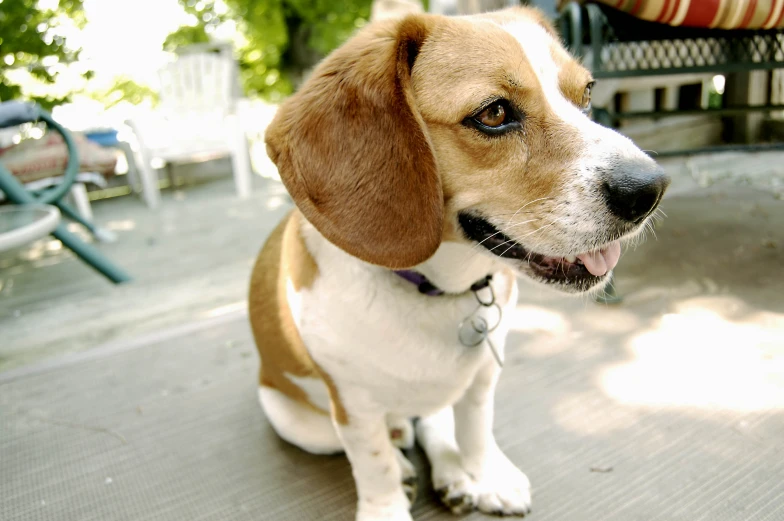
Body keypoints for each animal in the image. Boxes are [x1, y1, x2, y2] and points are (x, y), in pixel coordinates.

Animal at [250, 6, 668, 516]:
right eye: (494, 113)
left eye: (586, 93)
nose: (650, 189)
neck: (442, 290)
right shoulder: (352, 404)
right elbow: (374, 466)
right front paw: (386, 507)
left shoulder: (482, 377)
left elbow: (473, 430)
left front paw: (483, 474)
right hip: (294, 420)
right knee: (385, 437)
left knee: (431, 422)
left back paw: (452, 472)